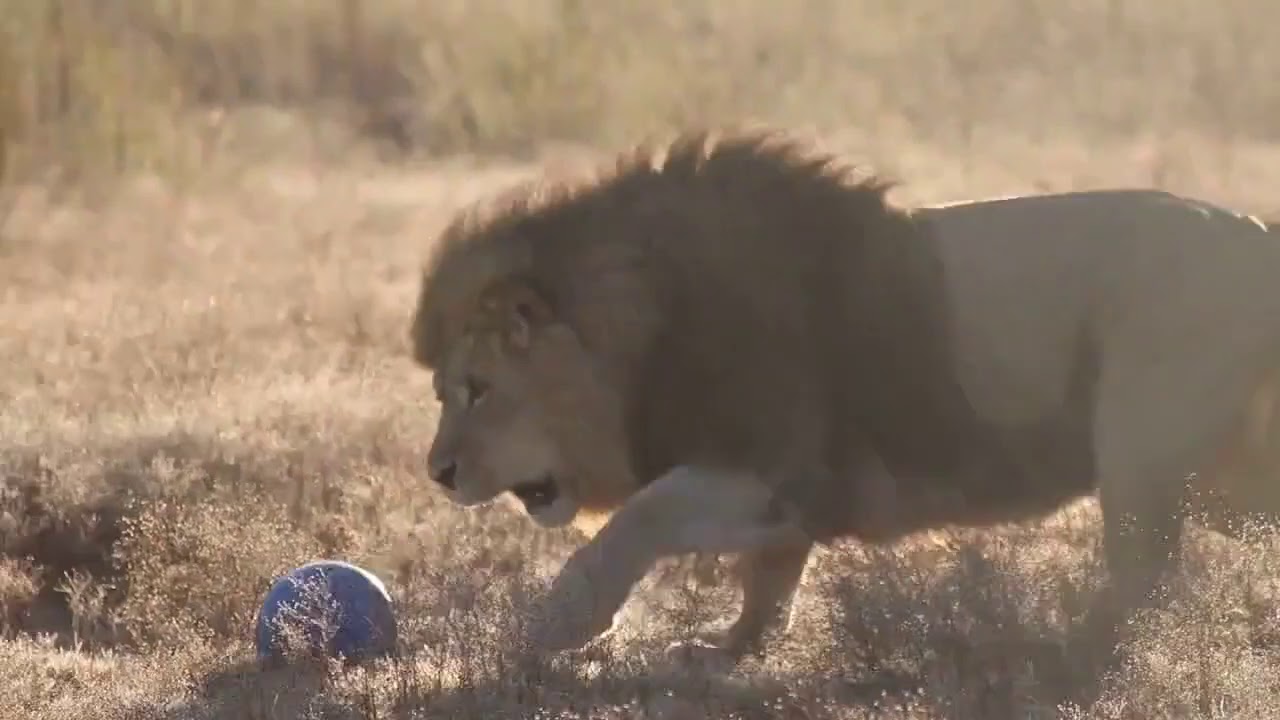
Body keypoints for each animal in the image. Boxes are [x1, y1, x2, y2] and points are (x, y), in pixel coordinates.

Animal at [407, 125, 1280, 667]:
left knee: (1145, 578)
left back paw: (1065, 647)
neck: (638, 333)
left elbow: (643, 516)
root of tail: (1257, 236)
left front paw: (560, 620)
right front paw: (725, 651)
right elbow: (768, 579)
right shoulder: (788, 501)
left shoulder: (785, 470)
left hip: (1140, 448)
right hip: (1218, 477)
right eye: (445, 392)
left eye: (477, 391)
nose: (438, 473)